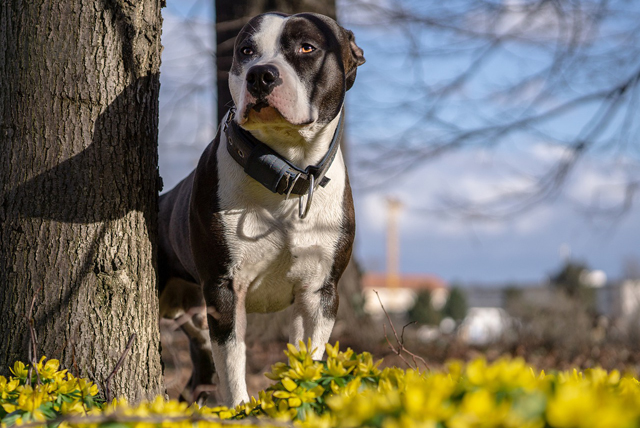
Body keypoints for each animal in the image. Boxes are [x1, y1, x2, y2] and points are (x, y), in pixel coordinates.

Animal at [157, 11, 362, 406]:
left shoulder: (319, 292)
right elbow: (234, 364)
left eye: (307, 47)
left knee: (201, 370)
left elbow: (308, 355)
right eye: (245, 51)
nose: (260, 74)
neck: (286, 172)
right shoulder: (224, 289)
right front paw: (240, 409)